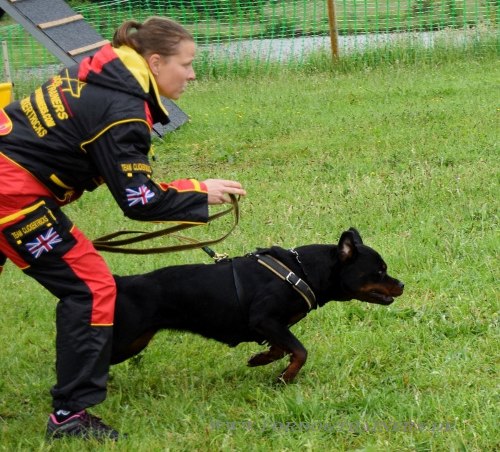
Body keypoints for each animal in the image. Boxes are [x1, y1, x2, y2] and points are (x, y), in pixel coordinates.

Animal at [110, 230, 402, 382]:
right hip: (126, 339)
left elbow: (283, 348)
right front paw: (285, 378)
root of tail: (122, 283)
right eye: (379, 271)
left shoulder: (273, 327)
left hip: (136, 341)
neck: (302, 272)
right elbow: (301, 351)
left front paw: (261, 359)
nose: (401, 284)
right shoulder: (264, 319)